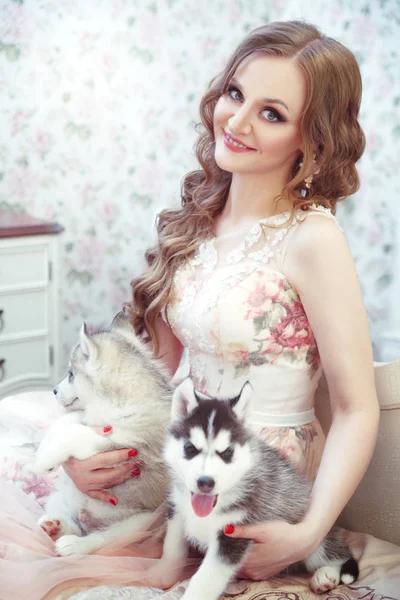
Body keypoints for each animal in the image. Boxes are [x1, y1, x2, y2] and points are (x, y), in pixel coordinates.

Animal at [34, 312, 172, 556]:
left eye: (71, 374)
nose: (54, 391)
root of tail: (90, 520)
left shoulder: (125, 448)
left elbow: (75, 433)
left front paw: (44, 461)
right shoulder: (90, 418)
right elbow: (66, 422)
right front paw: (43, 453)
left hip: (141, 522)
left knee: (102, 540)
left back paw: (73, 545)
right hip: (62, 497)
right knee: (75, 524)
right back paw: (55, 527)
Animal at [159, 378, 360, 596]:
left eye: (227, 452)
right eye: (190, 448)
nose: (205, 482)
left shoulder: (233, 535)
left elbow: (205, 579)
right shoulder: (178, 511)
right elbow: (172, 549)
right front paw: (163, 574)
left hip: (316, 538)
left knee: (334, 554)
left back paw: (326, 574)